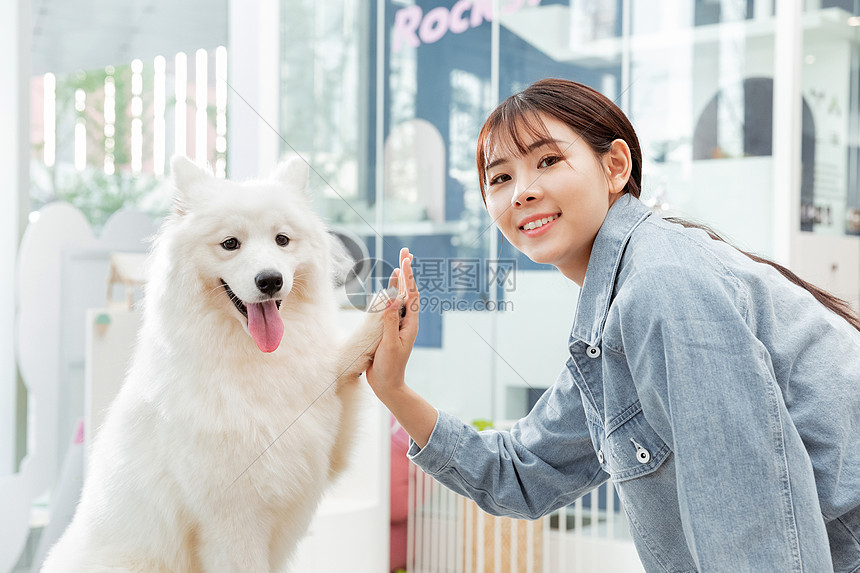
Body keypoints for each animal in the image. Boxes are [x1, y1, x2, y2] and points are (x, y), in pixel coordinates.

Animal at [42, 156, 398, 572]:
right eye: (231, 244)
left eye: (282, 240)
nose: (270, 280)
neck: (254, 359)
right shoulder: (232, 522)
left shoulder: (325, 450)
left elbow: (341, 370)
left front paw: (389, 306)